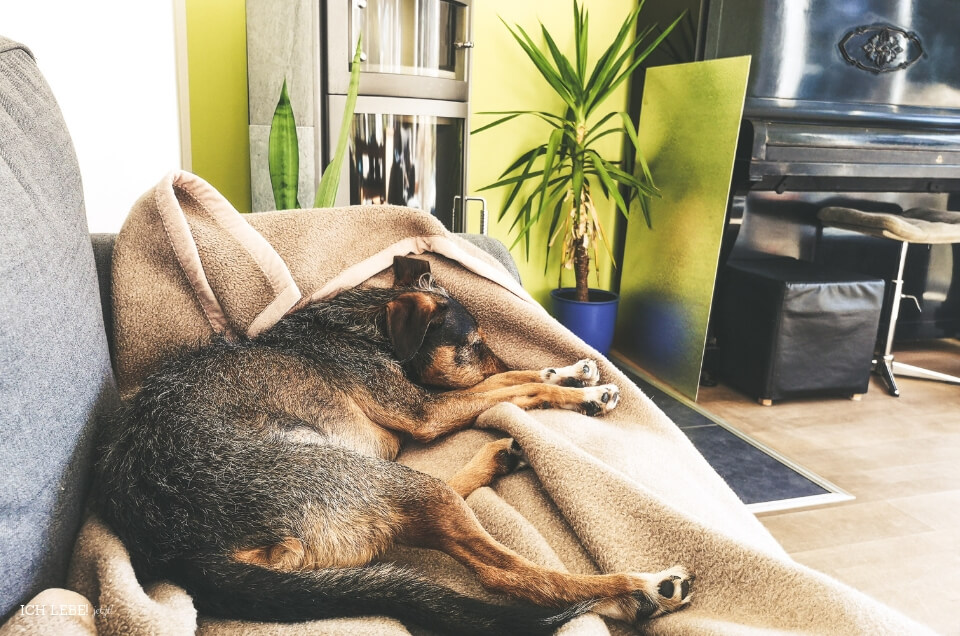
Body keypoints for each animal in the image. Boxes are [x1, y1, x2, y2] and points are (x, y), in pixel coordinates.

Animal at [94, 256, 692, 632]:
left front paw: (572, 372)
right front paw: (582, 391)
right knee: (511, 573)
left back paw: (499, 455)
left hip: (374, 480)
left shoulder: (427, 405)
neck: (365, 327)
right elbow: (510, 386)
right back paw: (639, 589)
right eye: (474, 343)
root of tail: (183, 555)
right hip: (379, 480)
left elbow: (512, 380)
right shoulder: (424, 412)